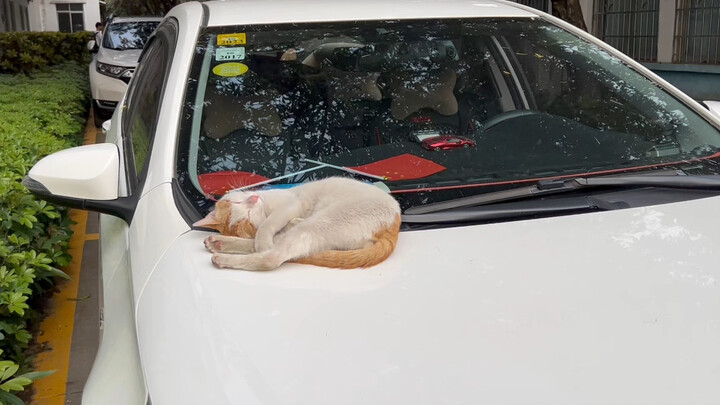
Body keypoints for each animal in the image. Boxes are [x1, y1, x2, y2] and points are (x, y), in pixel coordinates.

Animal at [194, 178, 402, 270]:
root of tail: (394, 227)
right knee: (273, 255)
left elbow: (266, 227)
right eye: (247, 216)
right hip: (318, 226)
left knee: (272, 254)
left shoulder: (289, 204)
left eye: (237, 202)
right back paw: (219, 245)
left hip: (321, 221)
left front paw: (264, 239)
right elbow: (264, 231)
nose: (253, 199)